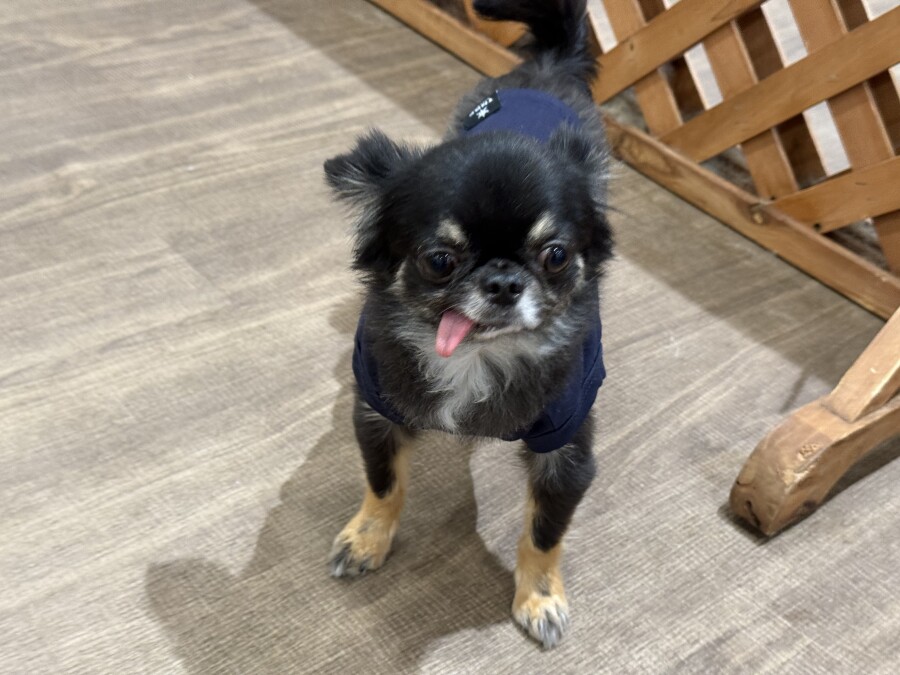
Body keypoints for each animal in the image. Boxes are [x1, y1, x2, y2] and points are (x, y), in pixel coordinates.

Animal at [323, 0, 612, 649]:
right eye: (440, 260)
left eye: (556, 255)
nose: (503, 281)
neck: (478, 359)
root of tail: (548, 66)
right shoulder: (377, 411)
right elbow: (384, 484)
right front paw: (368, 537)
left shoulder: (566, 453)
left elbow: (545, 534)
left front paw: (539, 597)